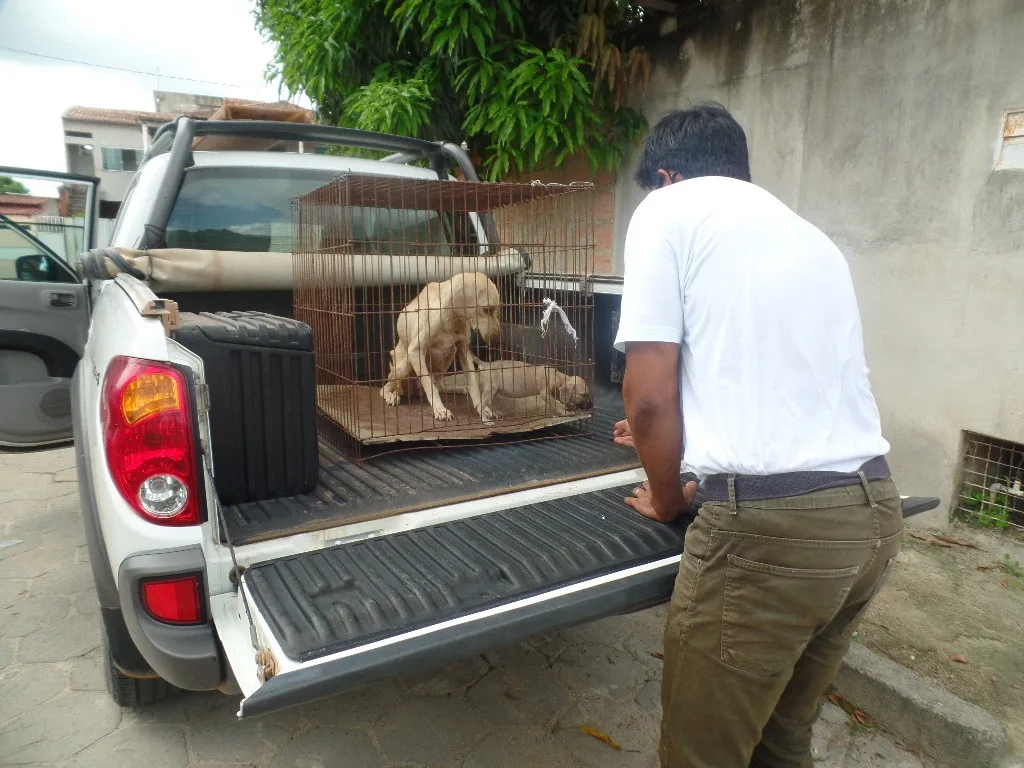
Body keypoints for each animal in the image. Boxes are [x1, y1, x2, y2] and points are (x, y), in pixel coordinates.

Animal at [380, 274, 499, 423]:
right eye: (487, 309)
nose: (496, 338)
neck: (451, 317)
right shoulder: (415, 351)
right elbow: (429, 385)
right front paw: (440, 409)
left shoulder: (463, 351)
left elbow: (474, 385)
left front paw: (484, 408)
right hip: (404, 365)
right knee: (386, 387)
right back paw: (391, 396)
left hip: (450, 354)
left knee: (440, 385)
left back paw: (460, 389)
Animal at [440, 360, 593, 421]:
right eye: (584, 394)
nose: (591, 406)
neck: (558, 376)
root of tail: (486, 364)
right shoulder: (544, 394)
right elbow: (554, 402)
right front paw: (564, 412)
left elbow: (559, 399)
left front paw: (567, 406)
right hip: (491, 388)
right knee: (480, 405)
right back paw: (485, 419)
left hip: (494, 391)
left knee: (488, 403)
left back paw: (495, 413)